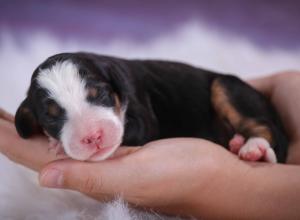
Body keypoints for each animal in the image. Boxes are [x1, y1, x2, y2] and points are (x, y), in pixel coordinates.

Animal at [14, 51, 288, 162]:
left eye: (100, 94)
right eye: (51, 117)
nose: (93, 137)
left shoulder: (143, 118)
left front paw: (58, 145)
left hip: (226, 86)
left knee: (265, 128)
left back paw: (253, 149)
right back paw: (238, 143)